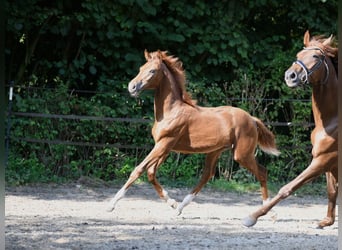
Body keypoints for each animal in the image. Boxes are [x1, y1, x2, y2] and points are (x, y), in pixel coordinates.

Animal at [108, 49, 280, 215]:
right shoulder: (165, 147)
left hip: (242, 154)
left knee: (262, 172)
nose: (132, 87)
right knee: (207, 175)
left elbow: (138, 169)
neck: (171, 111)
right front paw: (172, 202)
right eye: (140, 68)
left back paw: (270, 212)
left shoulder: (164, 143)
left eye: (152, 71)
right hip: (215, 151)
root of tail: (252, 119)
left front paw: (111, 204)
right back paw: (180, 208)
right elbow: (151, 172)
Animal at [244, 31, 338, 229]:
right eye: (298, 55)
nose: (290, 76)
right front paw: (326, 221)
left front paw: (252, 216)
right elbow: (331, 190)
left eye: (316, 57)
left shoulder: (323, 160)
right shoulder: (328, 162)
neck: (332, 121)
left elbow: (287, 188)